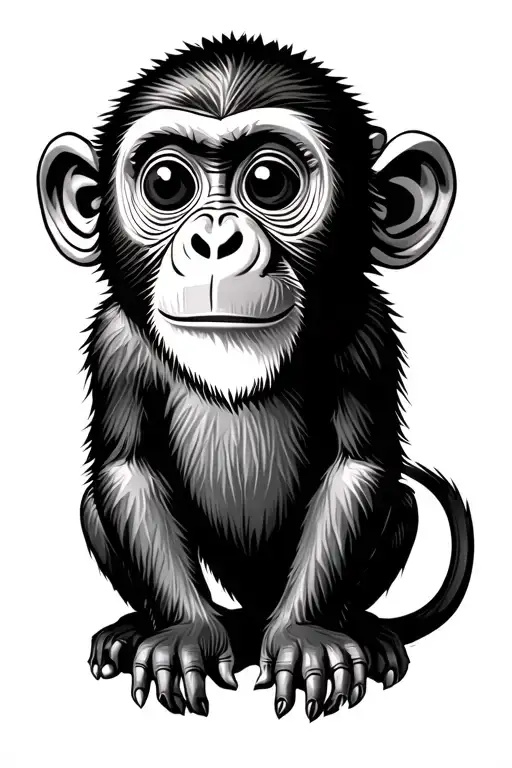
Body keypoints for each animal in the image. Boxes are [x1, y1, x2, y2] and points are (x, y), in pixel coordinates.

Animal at [37, 34, 473, 721]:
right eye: (166, 183)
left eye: (270, 182)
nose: (216, 242)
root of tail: (247, 616)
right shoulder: (114, 341)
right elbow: (129, 468)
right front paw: (183, 636)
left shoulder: (369, 333)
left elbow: (356, 468)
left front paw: (307, 638)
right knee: (94, 505)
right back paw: (138, 630)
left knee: (399, 502)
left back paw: (363, 631)